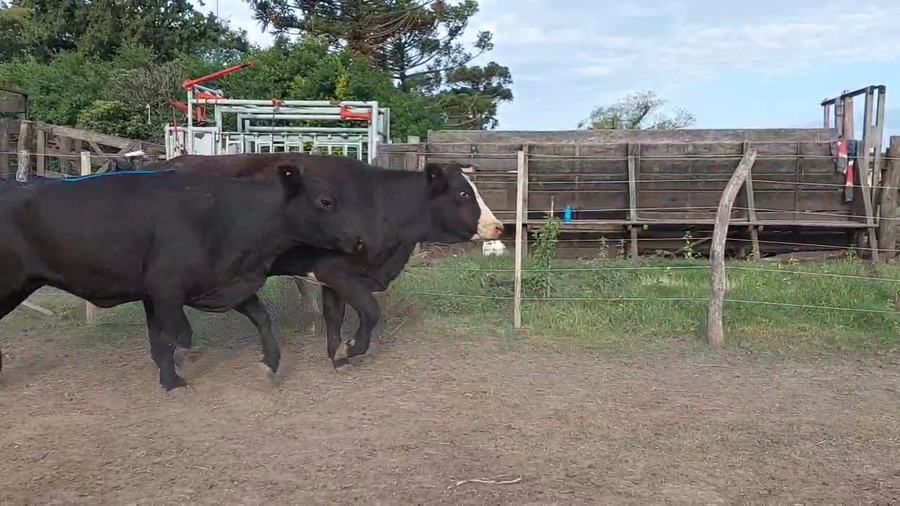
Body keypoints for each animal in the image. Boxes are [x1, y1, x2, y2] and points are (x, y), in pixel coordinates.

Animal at [0, 166, 363, 391]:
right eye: (325, 200)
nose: (358, 239)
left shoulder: (222, 281)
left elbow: (261, 317)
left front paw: (271, 365)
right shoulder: (166, 289)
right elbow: (165, 337)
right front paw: (172, 381)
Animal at [133, 153, 504, 371]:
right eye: (463, 193)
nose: (498, 226)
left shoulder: (332, 279)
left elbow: (333, 317)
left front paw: (336, 357)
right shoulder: (338, 272)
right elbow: (370, 312)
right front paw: (352, 350)